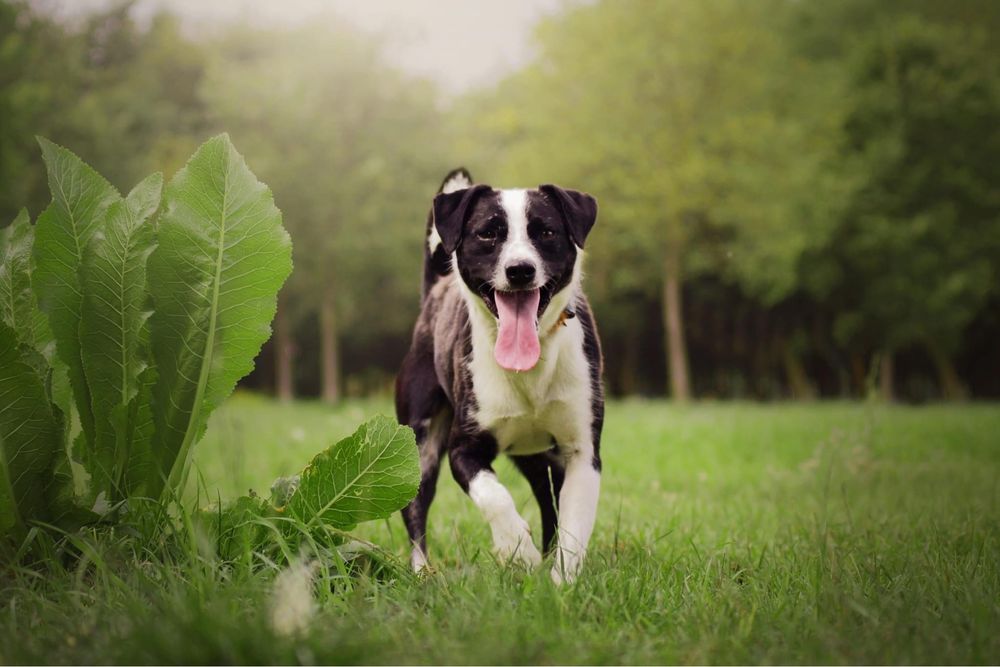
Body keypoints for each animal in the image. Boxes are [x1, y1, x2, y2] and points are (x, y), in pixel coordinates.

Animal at [396, 168, 600, 584]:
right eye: (488, 233)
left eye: (546, 231)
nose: (520, 269)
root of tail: (434, 293)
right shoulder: (464, 448)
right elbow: (494, 496)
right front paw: (518, 550)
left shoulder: (582, 451)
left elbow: (573, 524)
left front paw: (561, 583)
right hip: (421, 440)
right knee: (417, 507)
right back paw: (423, 571)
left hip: (540, 455)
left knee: (548, 498)